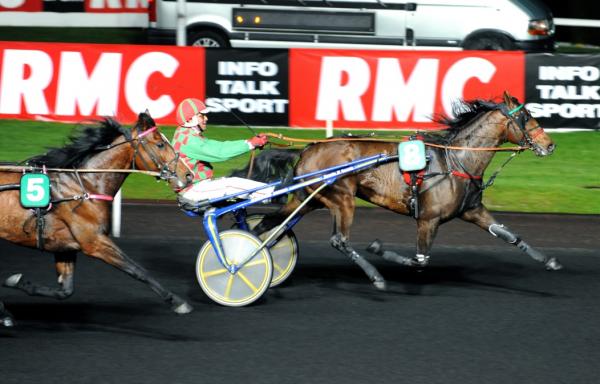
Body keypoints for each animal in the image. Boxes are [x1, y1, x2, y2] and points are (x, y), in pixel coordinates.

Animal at [0, 111, 192, 328]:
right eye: (160, 144)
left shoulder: (65, 247)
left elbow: (65, 291)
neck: (85, 186)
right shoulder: (95, 242)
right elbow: (138, 270)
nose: (188, 175)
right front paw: (177, 302)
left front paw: (18, 282)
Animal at [254, 91, 564, 290]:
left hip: (309, 199)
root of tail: (308, 149)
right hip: (341, 198)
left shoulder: (472, 210)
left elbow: (510, 235)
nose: (549, 145)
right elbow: (420, 260)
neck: (456, 160)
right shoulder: (428, 219)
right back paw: (376, 277)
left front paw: (549, 261)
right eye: (526, 116)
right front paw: (378, 249)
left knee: (270, 225)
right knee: (339, 240)